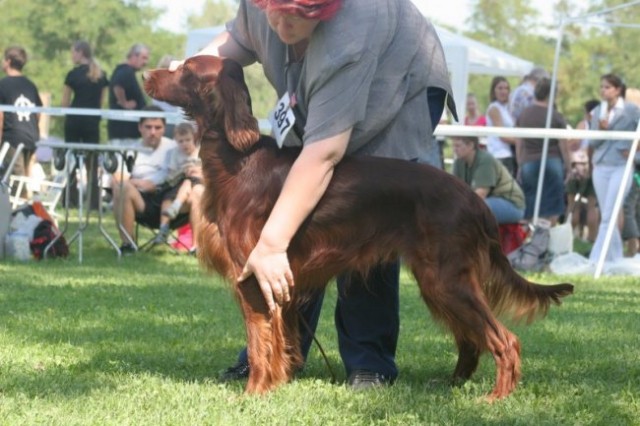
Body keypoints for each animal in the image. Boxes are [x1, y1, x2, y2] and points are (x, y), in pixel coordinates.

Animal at [146, 55, 576, 402]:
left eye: (185, 70)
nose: (148, 75)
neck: (238, 159)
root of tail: (474, 200)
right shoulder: (279, 282)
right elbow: (280, 341)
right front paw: (277, 384)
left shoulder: (254, 277)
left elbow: (259, 344)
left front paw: (253, 393)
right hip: (438, 281)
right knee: (471, 340)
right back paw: (450, 385)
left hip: (446, 278)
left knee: (505, 339)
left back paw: (496, 397)